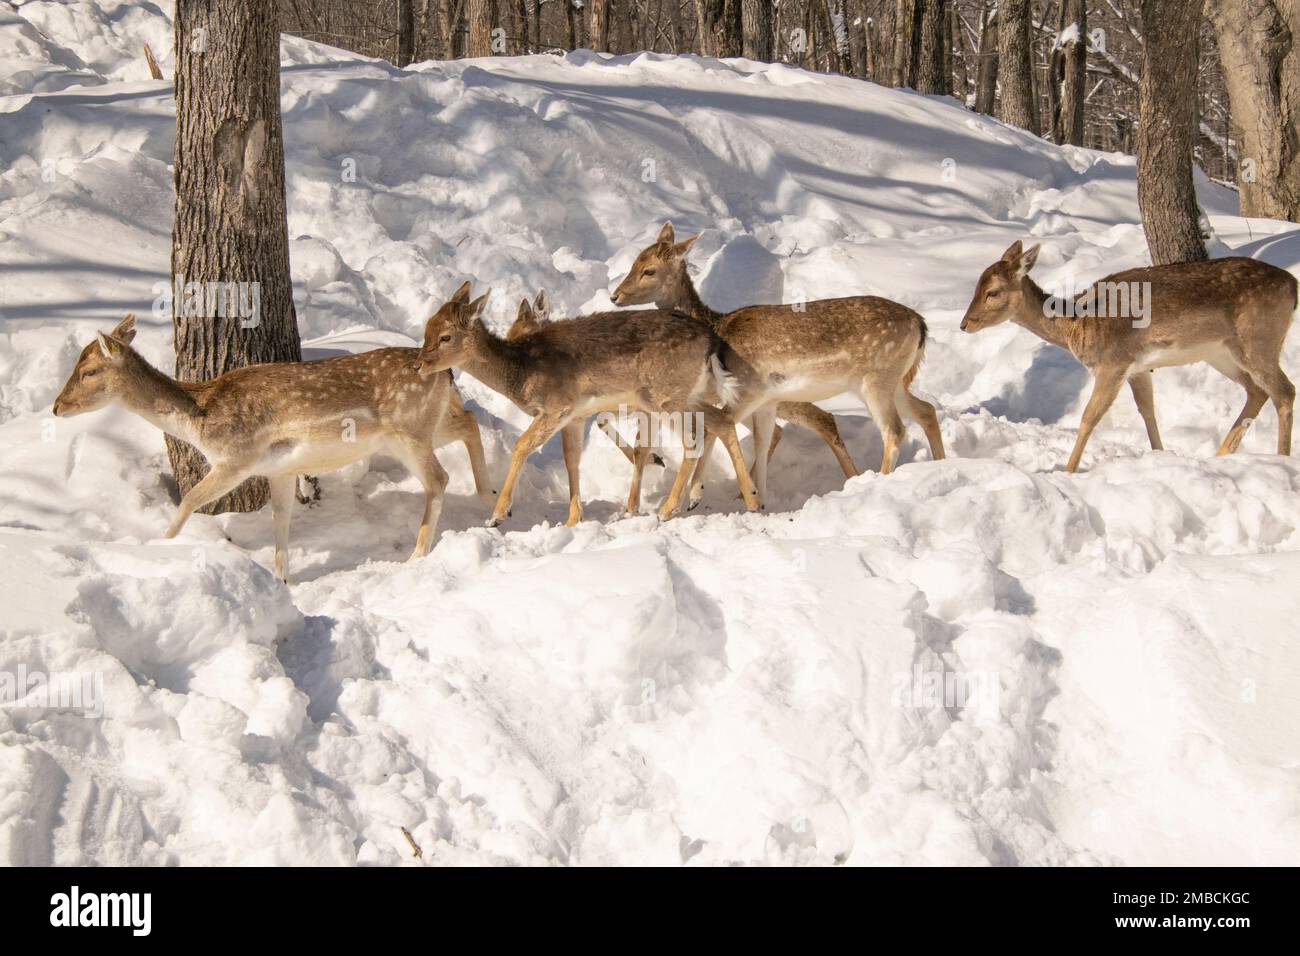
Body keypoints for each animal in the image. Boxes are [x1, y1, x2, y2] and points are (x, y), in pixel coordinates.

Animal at [51, 313, 495, 582]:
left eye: (89, 371)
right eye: (77, 364)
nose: (57, 406)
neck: (200, 416)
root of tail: (446, 372)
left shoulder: (236, 457)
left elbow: (191, 498)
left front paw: (161, 547)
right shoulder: (280, 470)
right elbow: (280, 520)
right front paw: (281, 578)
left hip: (408, 431)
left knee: (438, 478)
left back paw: (418, 555)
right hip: (428, 424)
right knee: (470, 421)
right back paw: (491, 502)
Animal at [415, 281, 761, 526]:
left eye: (445, 336)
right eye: (426, 327)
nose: (419, 364)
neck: (522, 370)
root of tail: (712, 341)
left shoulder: (558, 406)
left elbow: (522, 445)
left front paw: (498, 515)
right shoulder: (575, 416)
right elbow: (572, 461)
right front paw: (573, 520)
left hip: (665, 396)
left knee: (693, 438)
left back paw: (668, 508)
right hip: (685, 395)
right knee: (722, 421)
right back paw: (752, 500)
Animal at [611, 222, 946, 507]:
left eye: (649, 270)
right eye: (634, 262)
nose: (615, 296)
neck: (718, 327)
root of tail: (920, 324)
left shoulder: (748, 390)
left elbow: (712, 431)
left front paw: (692, 497)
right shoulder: (763, 400)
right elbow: (758, 441)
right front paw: (757, 498)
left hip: (877, 378)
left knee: (894, 431)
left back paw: (876, 484)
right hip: (894, 380)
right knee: (926, 411)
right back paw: (941, 464)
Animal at [960, 240, 1298, 471]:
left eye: (993, 292)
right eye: (976, 285)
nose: (965, 324)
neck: (1077, 324)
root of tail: (1293, 286)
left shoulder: (1113, 362)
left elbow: (1089, 417)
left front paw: (1067, 471)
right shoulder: (1138, 368)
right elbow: (1148, 412)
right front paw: (1161, 456)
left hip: (1258, 339)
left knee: (1284, 391)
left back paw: (1281, 460)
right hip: (1222, 352)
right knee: (1257, 390)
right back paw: (1222, 454)